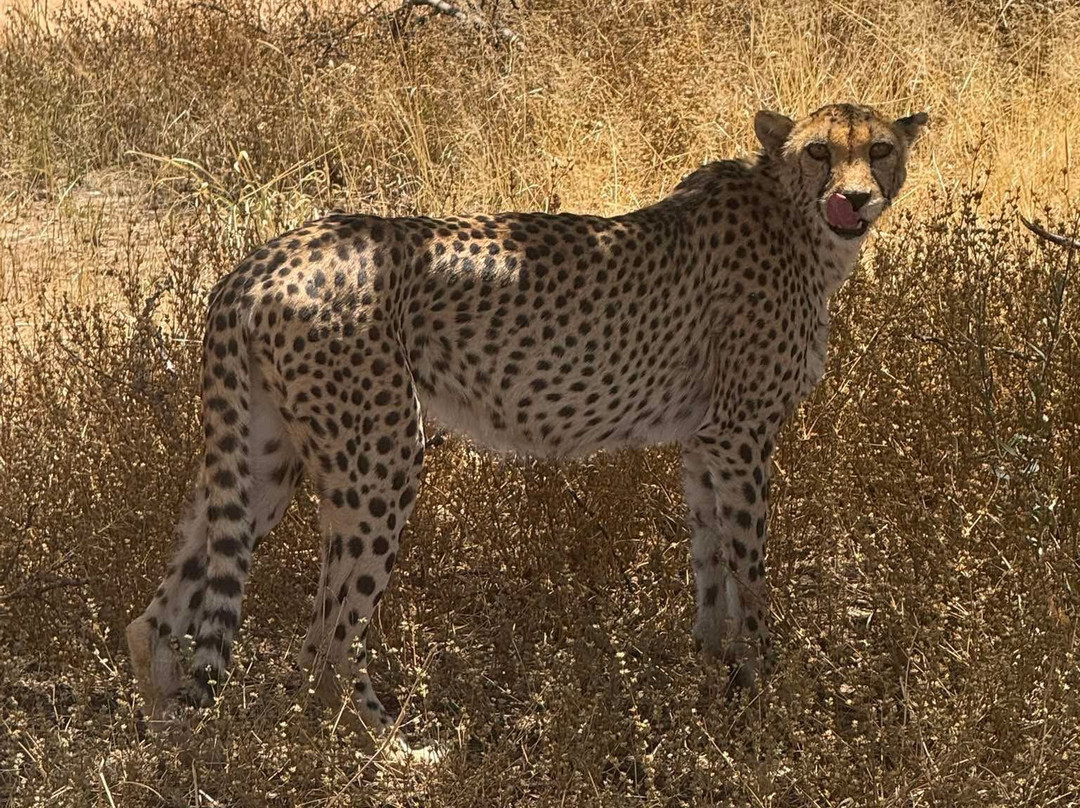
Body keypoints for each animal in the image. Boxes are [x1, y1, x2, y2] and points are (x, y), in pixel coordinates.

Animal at [126, 103, 927, 748]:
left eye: (880, 149)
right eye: (819, 150)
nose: (856, 197)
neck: (796, 216)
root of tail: (259, 263)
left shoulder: (705, 442)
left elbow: (710, 568)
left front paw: (709, 669)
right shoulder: (741, 435)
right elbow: (751, 575)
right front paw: (764, 685)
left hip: (263, 459)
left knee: (163, 610)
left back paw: (170, 741)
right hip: (381, 458)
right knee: (325, 641)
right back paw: (396, 751)